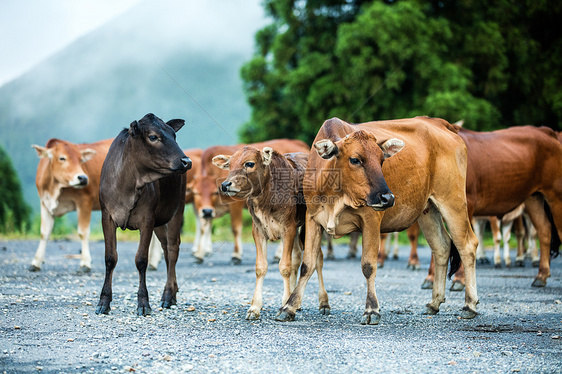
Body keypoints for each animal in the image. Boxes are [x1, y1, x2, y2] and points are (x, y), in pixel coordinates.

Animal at [95, 114, 190, 316]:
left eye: (174, 135)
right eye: (153, 137)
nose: (187, 161)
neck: (129, 185)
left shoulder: (147, 219)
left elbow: (141, 260)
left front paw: (143, 303)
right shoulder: (107, 216)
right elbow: (110, 258)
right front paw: (103, 302)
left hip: (177, 209)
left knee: (173, 249)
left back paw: (168, 295)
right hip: (160, 221)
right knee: (165, 250)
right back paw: (173, 292)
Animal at [210, 148, 324, 320]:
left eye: (249, 163)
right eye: (229, 165)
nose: (225, 184)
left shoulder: (288, 228)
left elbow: (285, 266)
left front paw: (285, 304)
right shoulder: (258, 230)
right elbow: (261, 267)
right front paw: (255, 307)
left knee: (318, 258)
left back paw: (324, 303)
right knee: (298, 256)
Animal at [276, 117, 476, 324]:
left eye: (382, 160)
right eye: (355, 159)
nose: (387, 198)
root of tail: (443, 124)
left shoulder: (371, 219)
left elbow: (368, 266)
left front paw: (372, 309)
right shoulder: (312, 219)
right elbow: (307, 264)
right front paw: (289, 307)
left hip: (453, 202)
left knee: (467, 246)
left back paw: (470, 304)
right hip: (428, 211)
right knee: (441, 247)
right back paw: (434, 302)